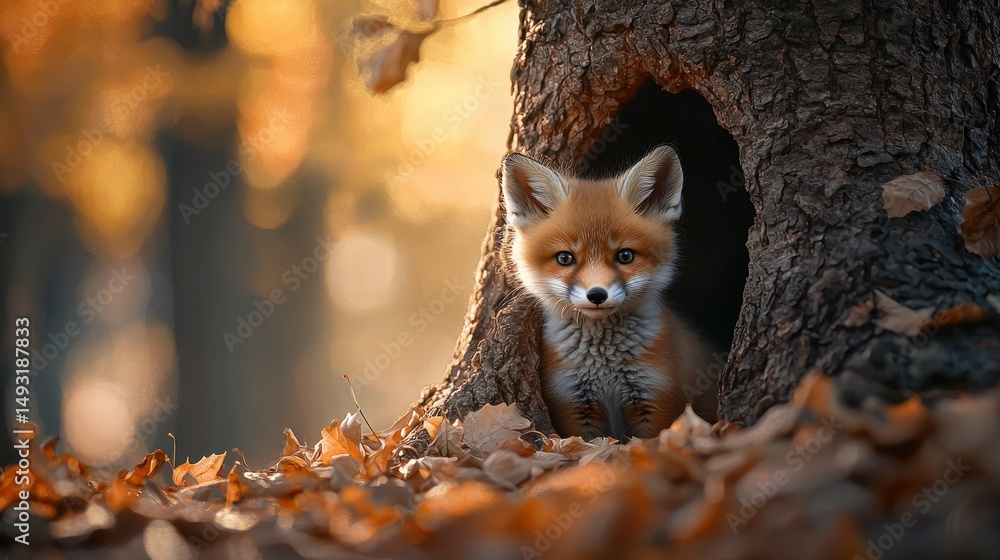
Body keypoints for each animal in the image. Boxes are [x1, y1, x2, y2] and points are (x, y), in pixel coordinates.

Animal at [500, 146, 718, 441]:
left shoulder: (657, 397)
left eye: (625, 256)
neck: (604, 363)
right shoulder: (573, 405)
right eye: (565, 258)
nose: (596, 295)